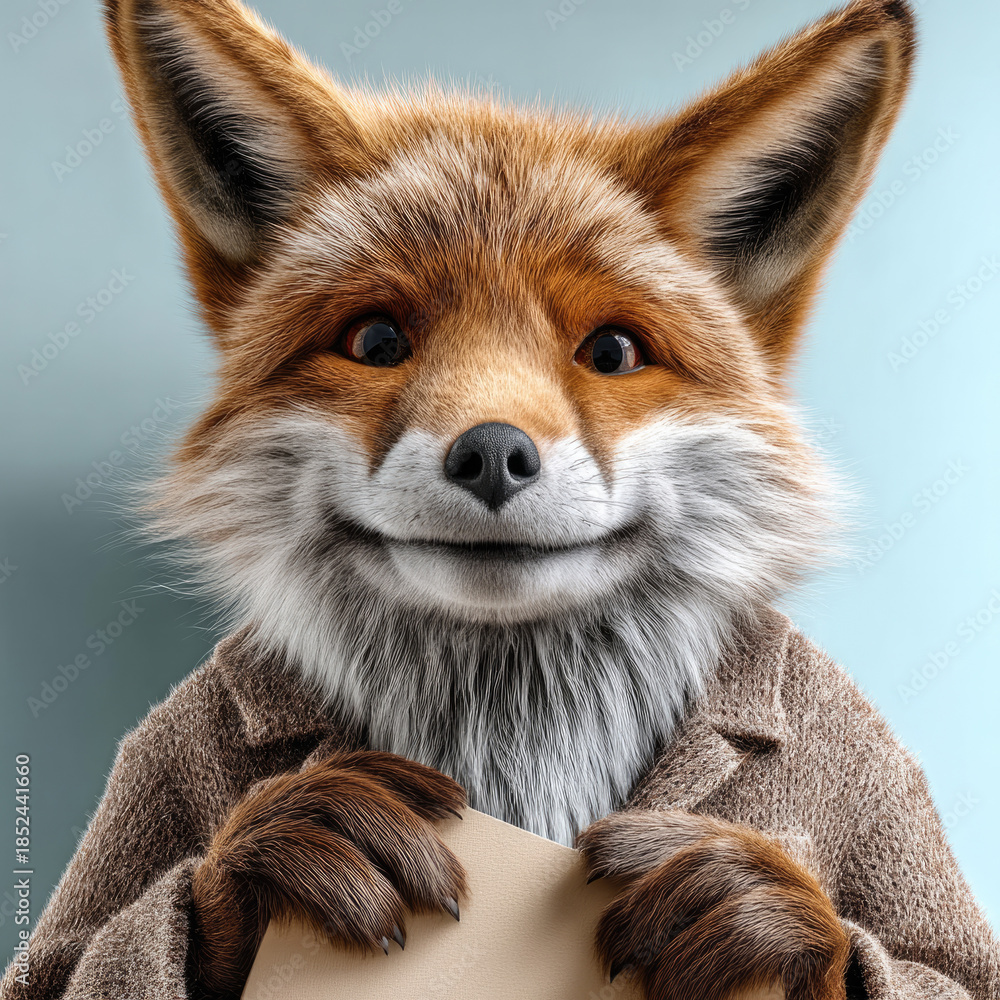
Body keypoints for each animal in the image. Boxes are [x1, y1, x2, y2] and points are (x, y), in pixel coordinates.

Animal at [4, 1, 999, 999]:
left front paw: (761, 909)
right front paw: (275, 846)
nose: (491, 454)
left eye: (612, 352)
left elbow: (940, 960)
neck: (515, 735)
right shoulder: (164, 745)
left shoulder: (870, 760)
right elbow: (72, 955)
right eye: (376, 340)